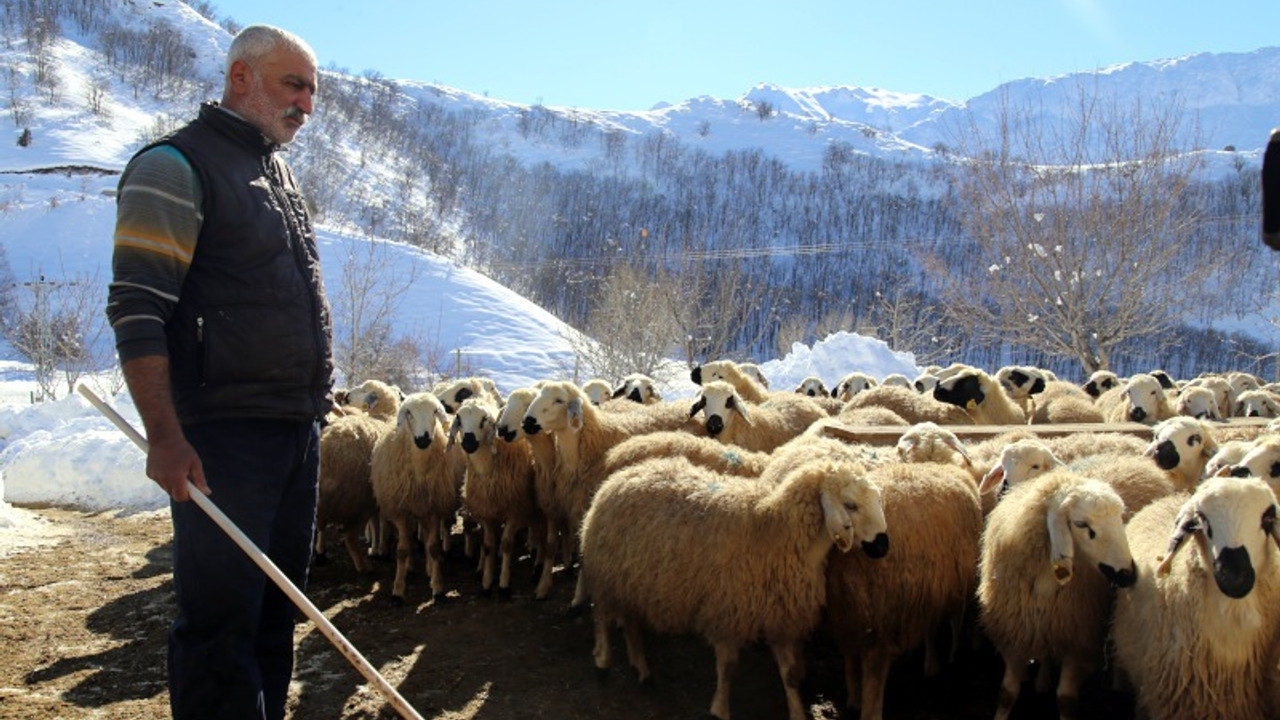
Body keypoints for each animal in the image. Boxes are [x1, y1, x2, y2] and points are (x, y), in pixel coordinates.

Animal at [371, 389, 465, 602]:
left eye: (435, 412)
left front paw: (437, 587)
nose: (423, 439)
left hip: (423, 508)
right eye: (409, 413)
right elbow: (402, 550)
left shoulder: (434, 508)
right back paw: (410, 567)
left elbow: (434, 547)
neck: (420, 470)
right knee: (410, 541)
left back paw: (429, 568)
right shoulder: (400, 511)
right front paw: (398, 589)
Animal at [448, 394, 542, 597]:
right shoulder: (486, 510)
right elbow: (488, 545)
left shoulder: (514, 509)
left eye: (484, 419)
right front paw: (486, 580)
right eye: (459, 418)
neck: (487, 469)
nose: (468, 443)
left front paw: (504, 584)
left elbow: (506, 544)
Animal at [583, 440, 890, 717]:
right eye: (850, 505)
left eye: (877, 499)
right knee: (601, 615)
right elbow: (728, 668)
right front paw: (720, 709)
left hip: (631, 579)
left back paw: (642, 669)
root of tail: (618, 478)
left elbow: (790, 674)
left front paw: (797, 712)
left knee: (631, 622)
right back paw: (602, 661)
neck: (775, 529)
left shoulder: (780, 617)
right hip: (605, 573)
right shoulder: (728, 612)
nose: (883, 546)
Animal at [972, 466, 1136, 717]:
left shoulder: (1076, 641)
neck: (1046, 584)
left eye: (1119, 519)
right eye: (1081, 524)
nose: (1128, 575)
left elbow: (1066, 699)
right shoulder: (1014, 634)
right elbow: (1007, 694)